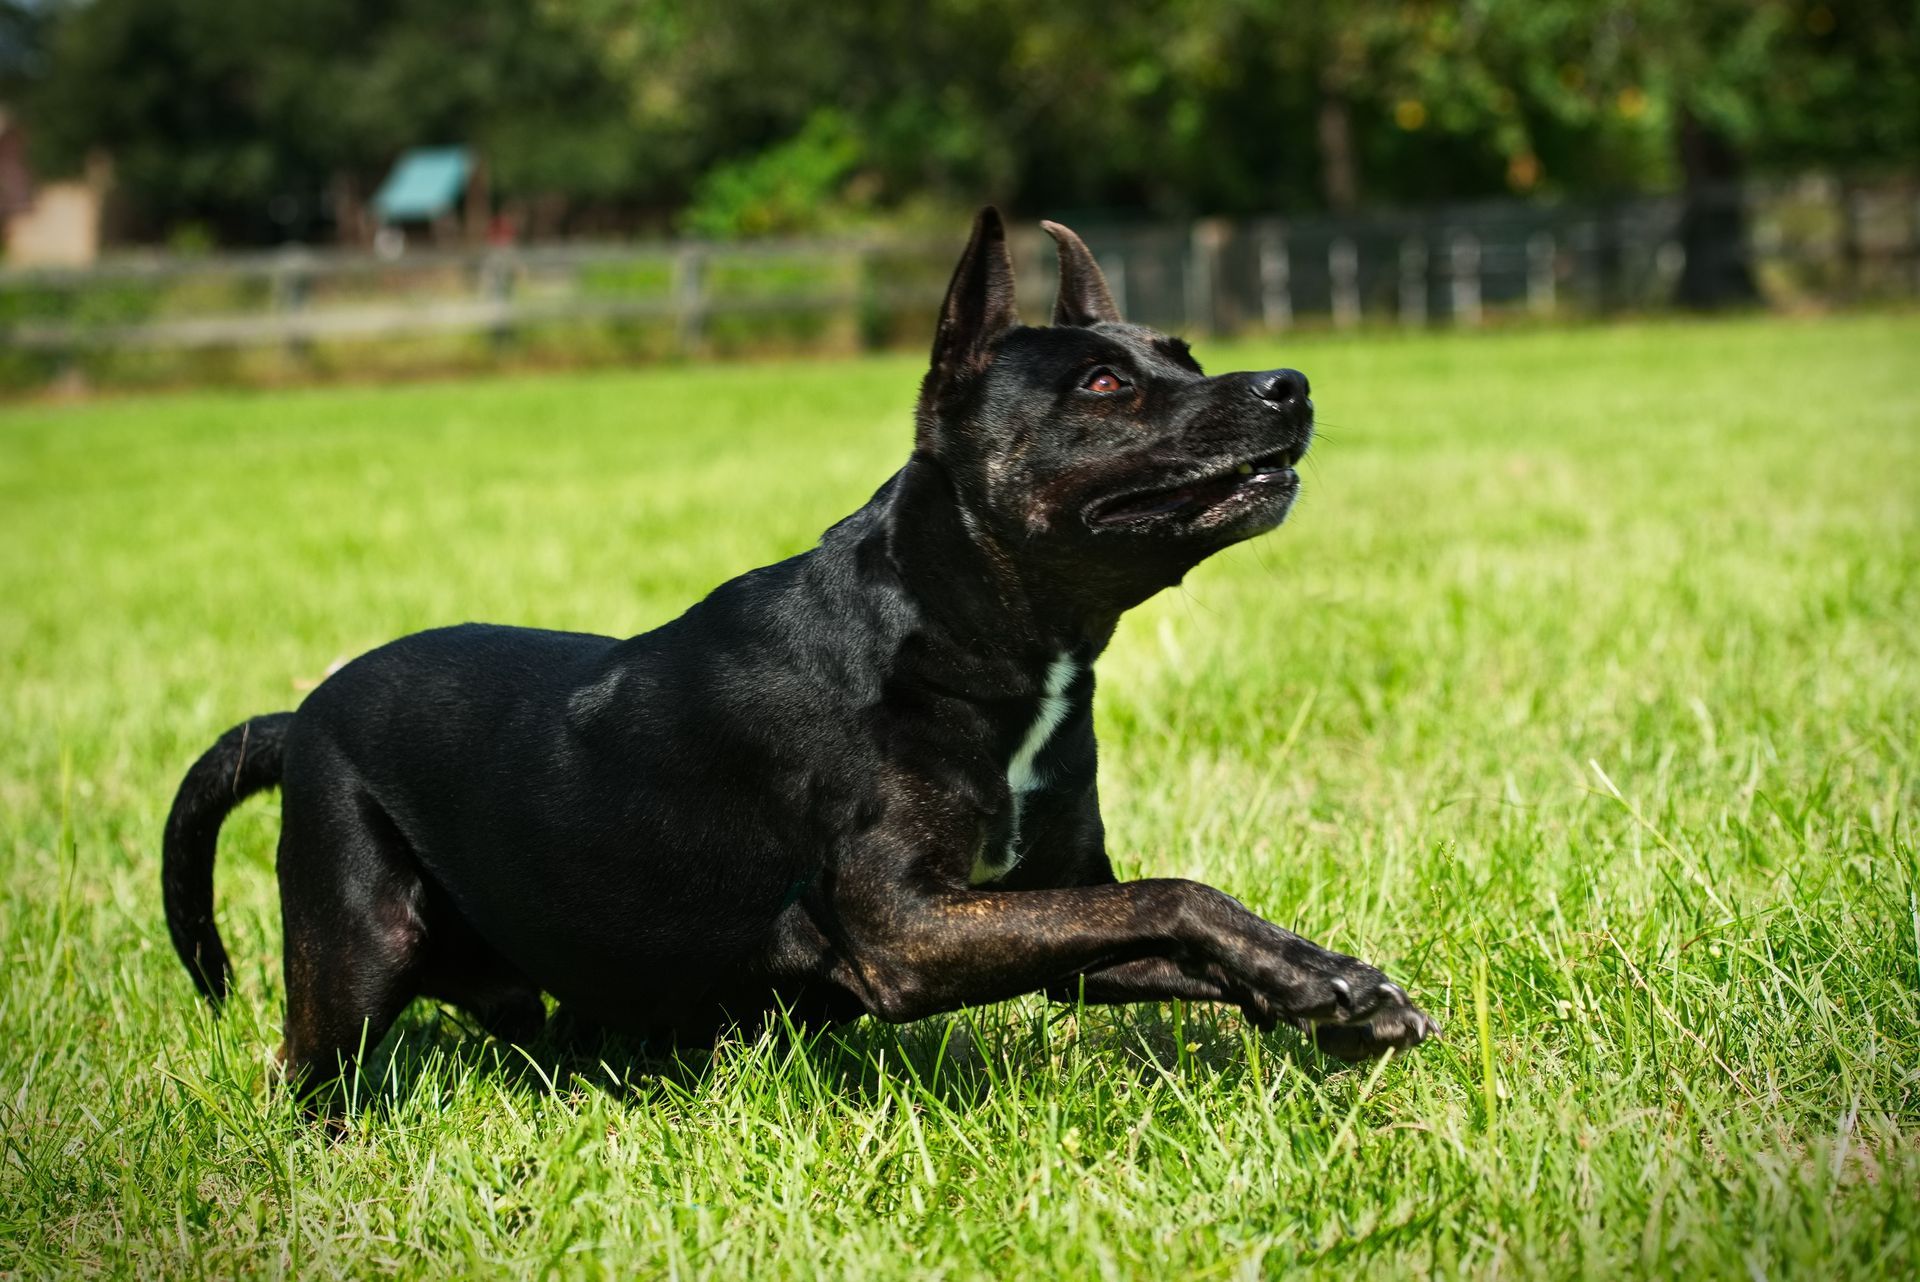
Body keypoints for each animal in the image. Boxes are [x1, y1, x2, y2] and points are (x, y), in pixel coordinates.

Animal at [161, 210, 1428, 1105]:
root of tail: (300, 717)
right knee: (306, 1074)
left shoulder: (1052, 912)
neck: (962, 626)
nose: (1289, 386)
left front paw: (1328, 987)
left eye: (1184, 353)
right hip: (357, 953)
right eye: (1106, 386)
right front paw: (1321, 982)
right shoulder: (909, 929)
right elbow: (1177, 894)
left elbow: (1165, 917)